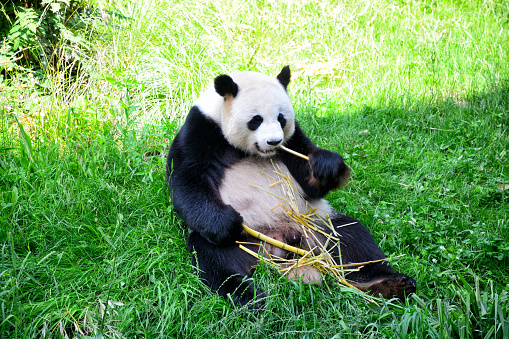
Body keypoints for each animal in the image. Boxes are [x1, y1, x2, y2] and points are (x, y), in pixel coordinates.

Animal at [167, 65, 416, 308]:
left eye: (281, 118)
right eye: (256, 120)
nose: (274, 141)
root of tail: (281, 242)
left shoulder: (294, 137)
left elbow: (308, 175)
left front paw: (328, 167)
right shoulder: (200, 131)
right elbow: (187, 181)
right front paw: (228, 221)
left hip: (317, 223)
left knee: (352, 240)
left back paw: (390, 283)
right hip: (243, 239)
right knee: (216, 258)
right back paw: (248, 297)